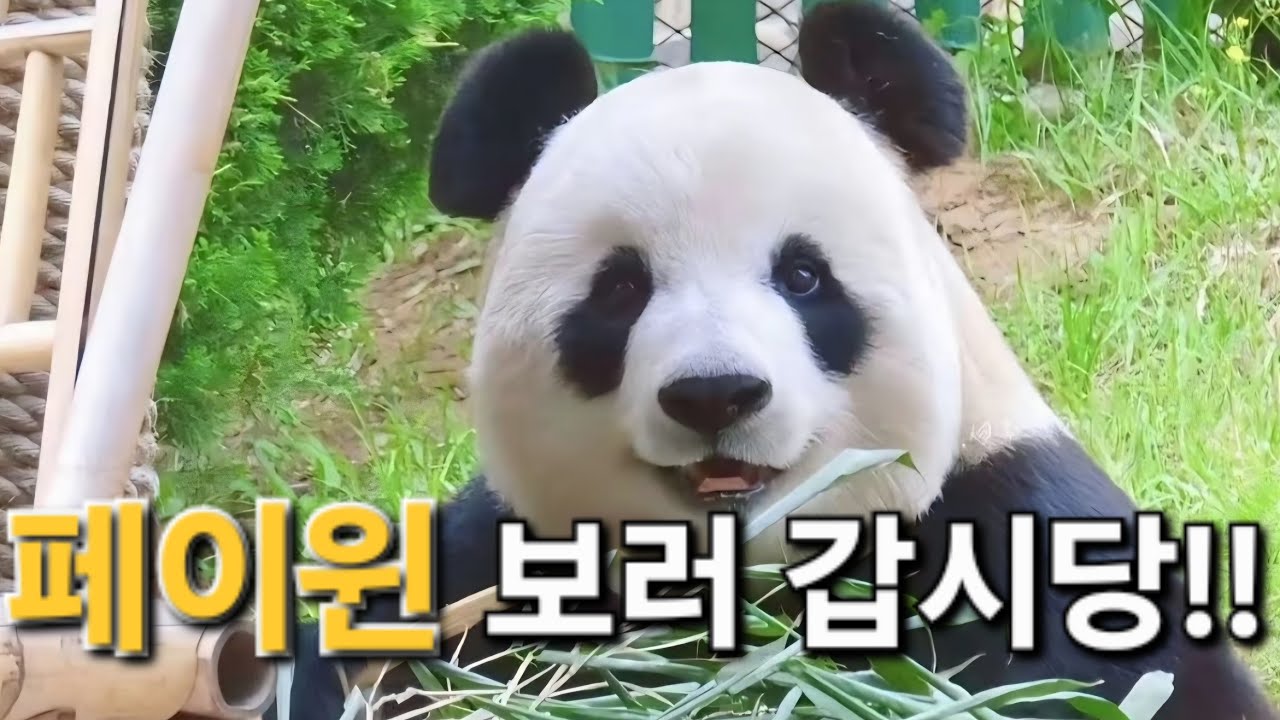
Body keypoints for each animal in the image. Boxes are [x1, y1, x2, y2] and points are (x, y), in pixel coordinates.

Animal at [266, 1, 1278, 718]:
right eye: (620, 291)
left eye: (802, 276)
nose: (715, 394)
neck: (743, 589)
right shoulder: (495, 566)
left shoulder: (1012, 532)